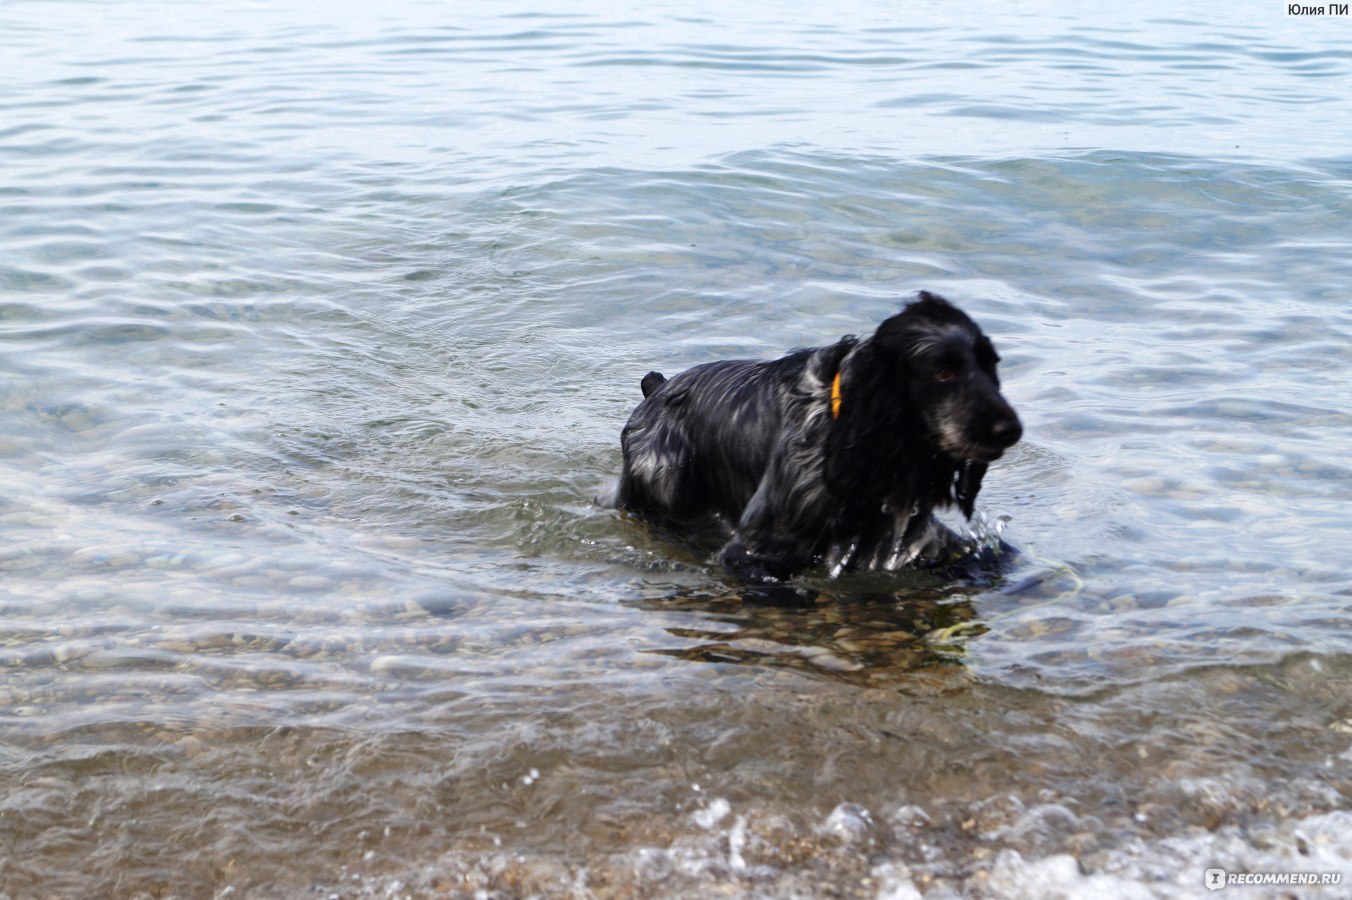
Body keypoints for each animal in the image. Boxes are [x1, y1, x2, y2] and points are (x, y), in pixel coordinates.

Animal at [608, 289, 1016, 581]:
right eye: (944, 372)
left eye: (990, 365)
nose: (1010, 429)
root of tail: (657, 389)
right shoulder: (759, 547)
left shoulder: (905, 536)